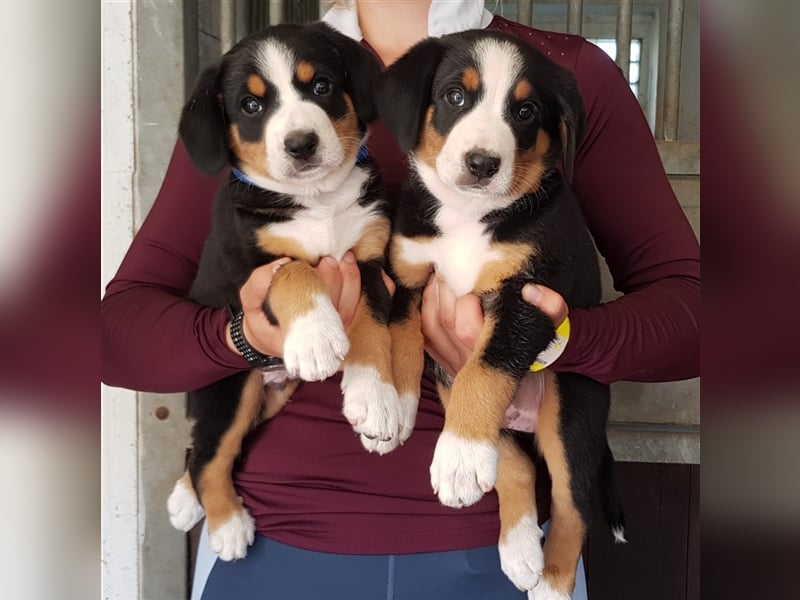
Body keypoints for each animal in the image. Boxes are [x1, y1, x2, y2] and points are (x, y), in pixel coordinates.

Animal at [166, 23, 410, 564]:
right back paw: (226, 523)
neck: (318, 201)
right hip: (232, 386)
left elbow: (373, 330)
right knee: (210, 452)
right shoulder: (251, 267)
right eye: (251, 105)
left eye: (320, 85)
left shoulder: (370, 262)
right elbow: (296, 272)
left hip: (272, 398)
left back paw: (186, 499)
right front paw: (317, 337)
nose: (301, 144)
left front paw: (374, 399)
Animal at [378, 30, 628, 596]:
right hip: (454, 383)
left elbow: (486, 371)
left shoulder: (527, 299)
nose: (482, 163)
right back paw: (517, 548)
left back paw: (551, 579)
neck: (468, 217)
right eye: (454, 97)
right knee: (516, 465)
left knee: (572, 502)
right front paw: (395, 409)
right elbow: (401, 344)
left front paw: (458, 456)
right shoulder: (408, 278)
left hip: (571, 404)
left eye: (526, 111)